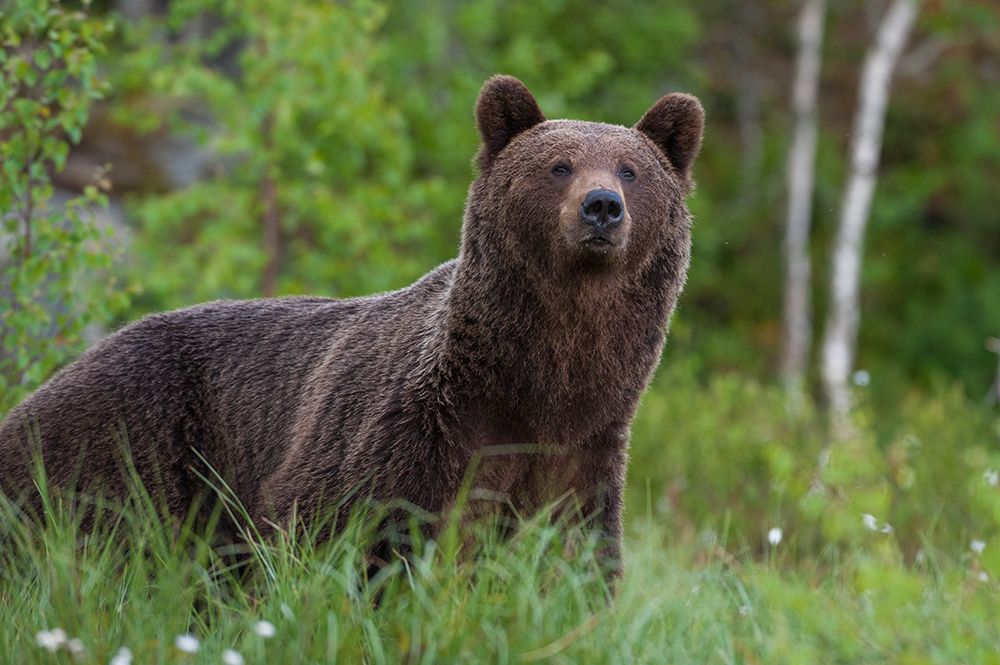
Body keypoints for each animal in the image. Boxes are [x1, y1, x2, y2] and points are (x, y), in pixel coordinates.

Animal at [0, 75, 703, 576]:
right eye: (559, 165)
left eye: (631, 170)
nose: (602, 207)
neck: (539, 386)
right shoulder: (405, 433)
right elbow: (331, 534)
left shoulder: (581, 453)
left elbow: (571, 561)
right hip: (130, 443)